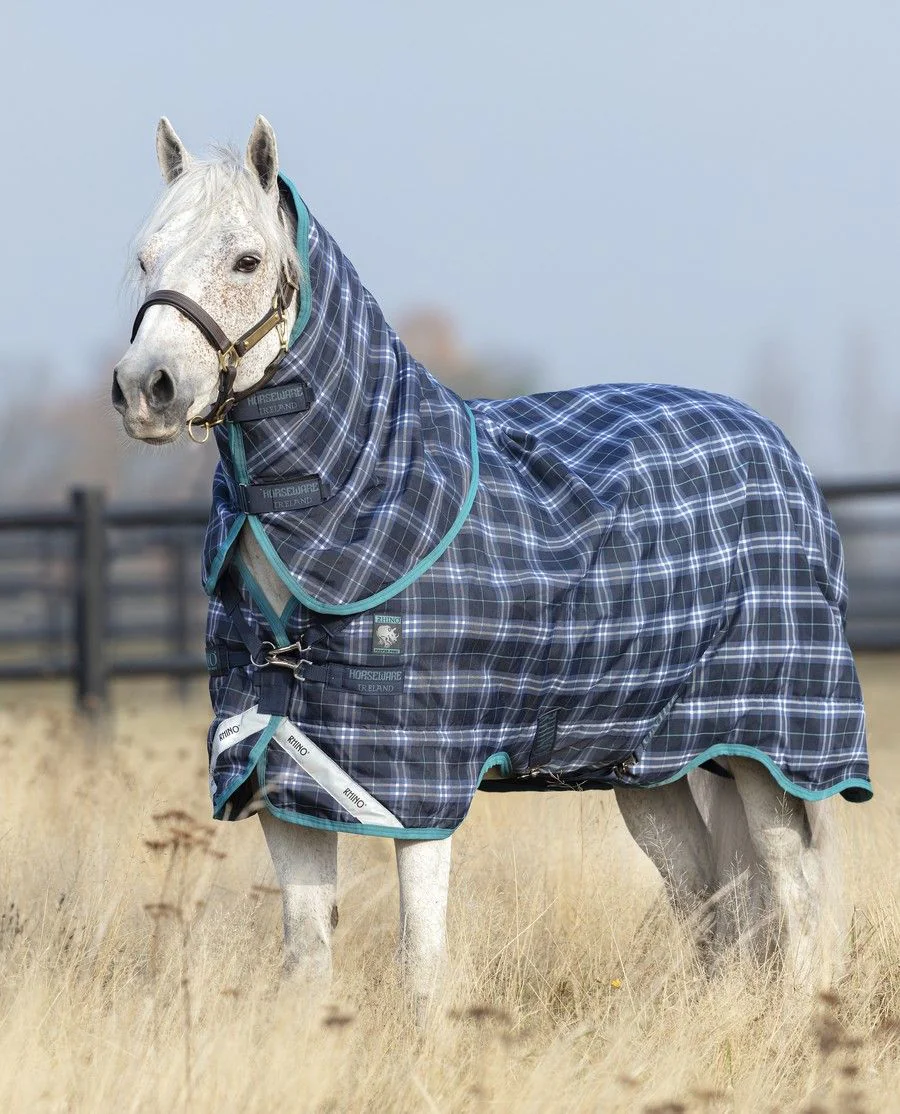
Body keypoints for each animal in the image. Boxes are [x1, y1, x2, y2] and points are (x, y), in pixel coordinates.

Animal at [112, 116, 871, 1012]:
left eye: (246, 260)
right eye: (145, 258)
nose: (147, 389)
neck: (369, 489)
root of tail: (776, 448)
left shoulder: (414, 785)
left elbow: (419, 959)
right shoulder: (278, 764)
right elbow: (307, 952)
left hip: (770, 755)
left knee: (794, 895)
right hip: (651, 766)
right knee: (708, 899)